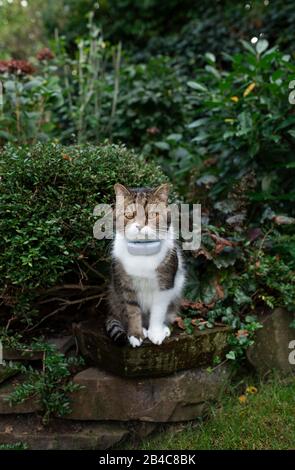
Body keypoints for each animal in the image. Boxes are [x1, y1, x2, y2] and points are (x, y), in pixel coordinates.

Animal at [106, 182, 185, 346]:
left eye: (153, 214)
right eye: (129, 215)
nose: (140, 226)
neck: (143, 250)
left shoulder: (165, 284)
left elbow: (158, 311)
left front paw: (156, 333)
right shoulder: (126, 286)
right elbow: (133, 311)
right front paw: (136, 334)